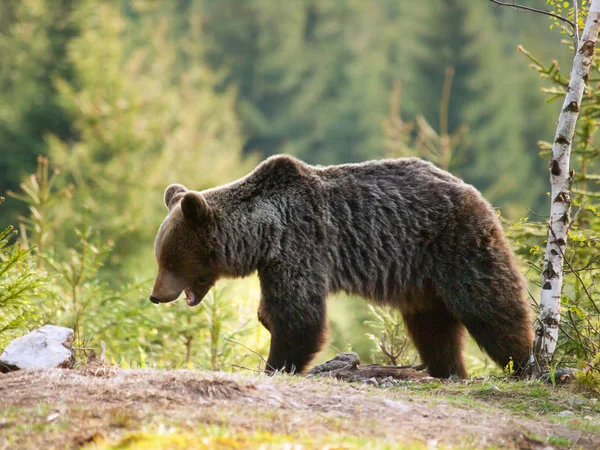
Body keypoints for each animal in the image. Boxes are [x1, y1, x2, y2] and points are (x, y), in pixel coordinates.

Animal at [150, 155, 536, 376]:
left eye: (169, 260)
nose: (155, 296)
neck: (262, 234)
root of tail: (473, 191)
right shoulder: (275, 260)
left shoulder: (300, 245)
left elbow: (299, 316)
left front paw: (277, 365)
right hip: (422, 280)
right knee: (433, 327)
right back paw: (448, 369)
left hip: (457, 246)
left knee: (491, 307)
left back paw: (524, 363)